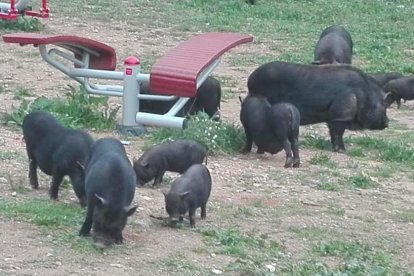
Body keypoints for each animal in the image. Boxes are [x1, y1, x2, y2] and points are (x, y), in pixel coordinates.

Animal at [247, 61, 390, 152]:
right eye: (384, 106)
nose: (387, 122)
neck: (364, 94)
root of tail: (250, 79)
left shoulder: (332, 117)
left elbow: (333, 132)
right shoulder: (341, 114)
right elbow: (338, 133)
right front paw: (342, 151)